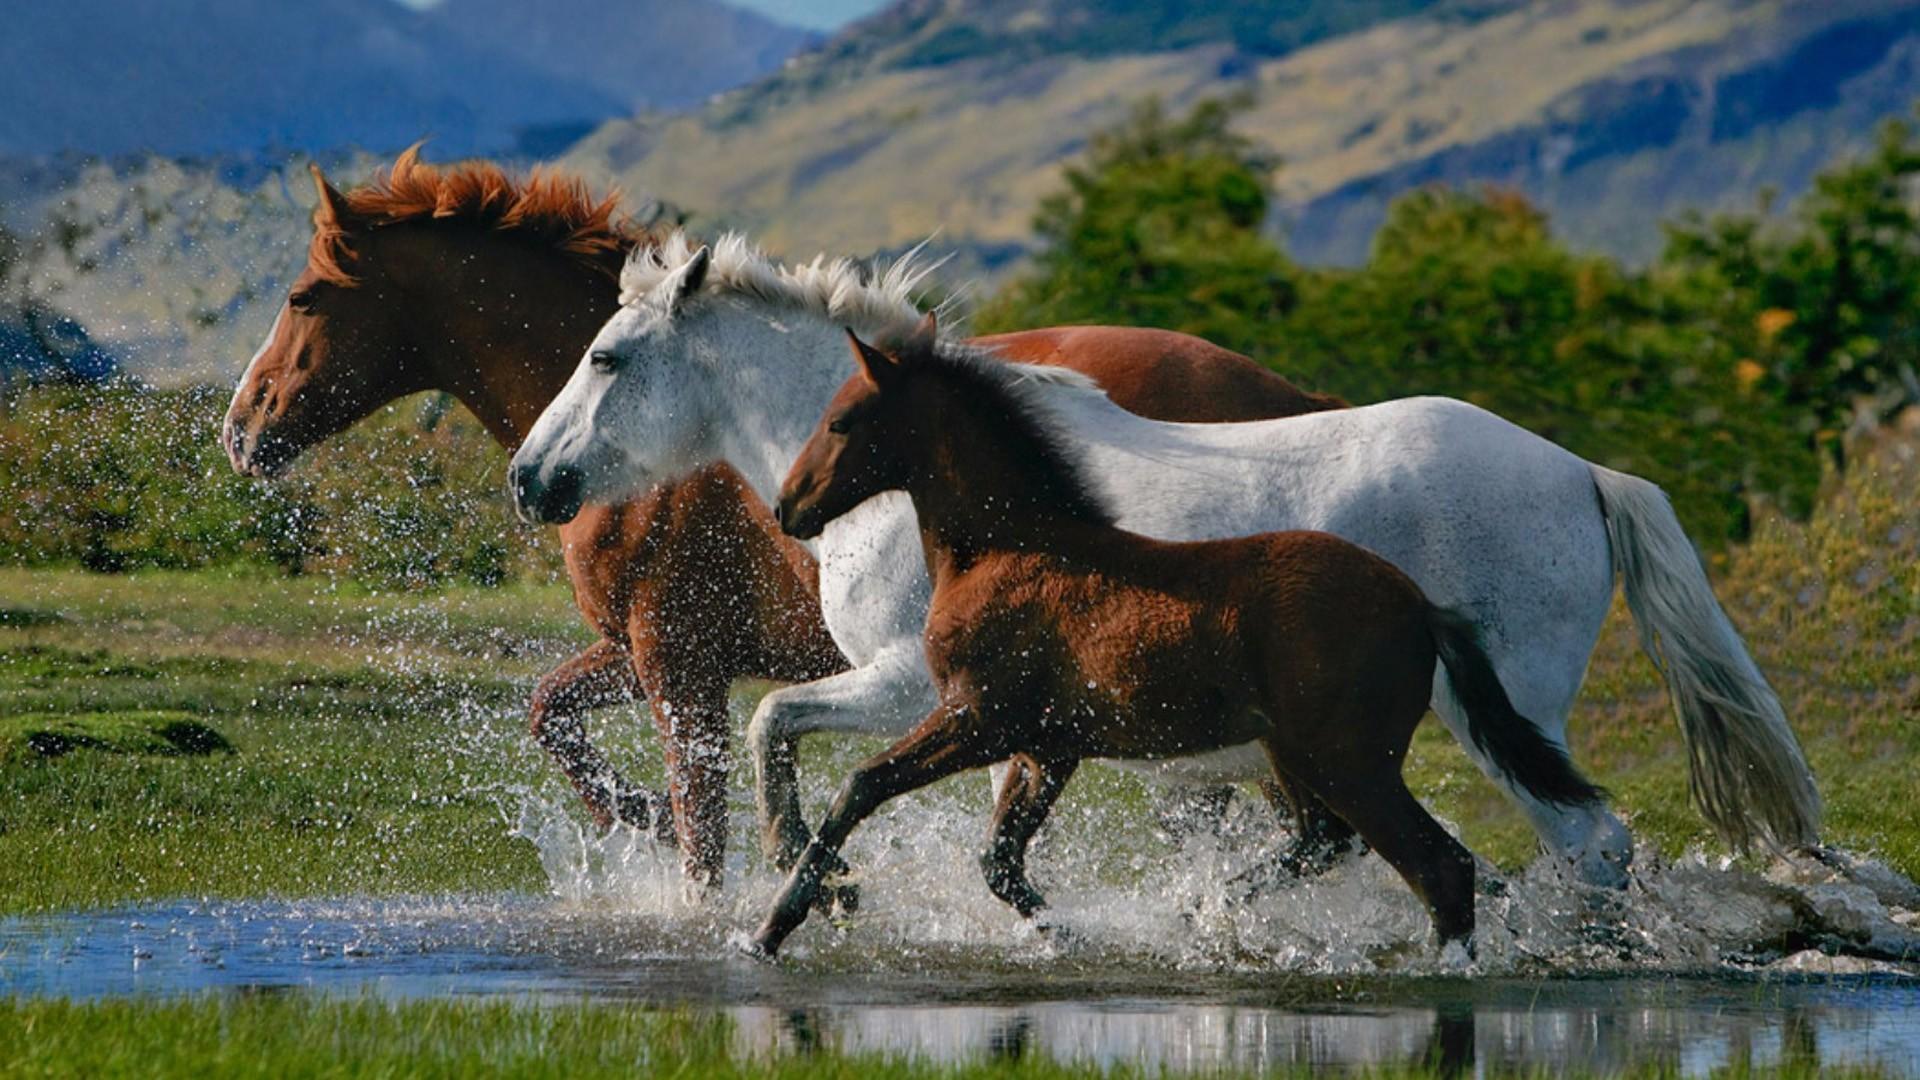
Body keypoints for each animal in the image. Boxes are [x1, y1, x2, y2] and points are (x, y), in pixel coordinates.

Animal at [219, 150, 1347, 888]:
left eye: (305, 295)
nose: (240, 428)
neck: (668, 449)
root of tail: (1295, 399)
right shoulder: (648, 652)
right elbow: (555, 715)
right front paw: (641, 818)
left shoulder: (678, 662)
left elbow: (704, 827)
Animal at [508, 234, 1821, 891]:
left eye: (610, 356)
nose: (532, 479)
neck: (933, 485)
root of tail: (1582, 472)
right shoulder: (1017, 717)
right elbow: (999, 835)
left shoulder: (912, 685)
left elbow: (775, 721)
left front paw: (811, 876)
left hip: (1505, 720)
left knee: (1588, 846)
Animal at [748, 322, 1605, 957]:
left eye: (841, 420)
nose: (790, 507)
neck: (1013, 548)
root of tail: (1422, 607)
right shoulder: (1048, 746)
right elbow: (999, 861)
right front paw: (1071, 933)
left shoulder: (977, 718)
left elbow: (860, 788)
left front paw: (775, 923)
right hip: (1299, 758)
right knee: (1332, 842)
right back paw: (1214, 908)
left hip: (1350, 761)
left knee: (1442, 864)